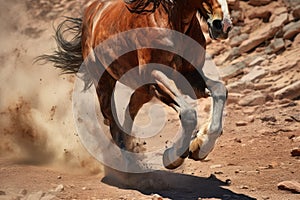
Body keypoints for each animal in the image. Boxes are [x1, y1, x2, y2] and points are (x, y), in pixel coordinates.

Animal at [39, 0, 232, 172]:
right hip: (104, 83)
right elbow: (188, 113)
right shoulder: (156, 76)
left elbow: (219, 90)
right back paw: (131, 167)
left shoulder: (189, 75)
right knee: (112, 122)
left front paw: (200, 146)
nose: (222, 25)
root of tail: (91, 12)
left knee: (129, 112)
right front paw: (173, 157)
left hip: (142, 91)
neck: (171, 20)